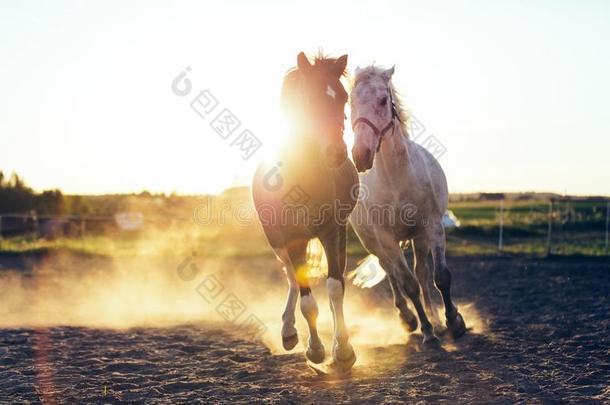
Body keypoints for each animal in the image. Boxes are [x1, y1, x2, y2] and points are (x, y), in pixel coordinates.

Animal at [251, 51, 358, 370]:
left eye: (343, 97)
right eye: (310, 98)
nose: (337, 152)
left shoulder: (332, 231)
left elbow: (335, 287)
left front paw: (343, 349)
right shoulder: (292, 238)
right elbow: (307, 300)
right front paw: (315, 349)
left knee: (335, 284)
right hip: (276, 240)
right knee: (291, 278)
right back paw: (288, 331)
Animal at [346, 65, 466, 344]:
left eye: (382, 100)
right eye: (351, 103)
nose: (361, 155)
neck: (397, 178)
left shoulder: (433, 228)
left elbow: (440, 277)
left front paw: (453, 321)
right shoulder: (386, 239)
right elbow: (408, 284)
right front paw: (427, 332)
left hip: (418, 238)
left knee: (422, 272)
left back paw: (436, 320)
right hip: (374, 243)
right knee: (392, 273)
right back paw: (408, 318)